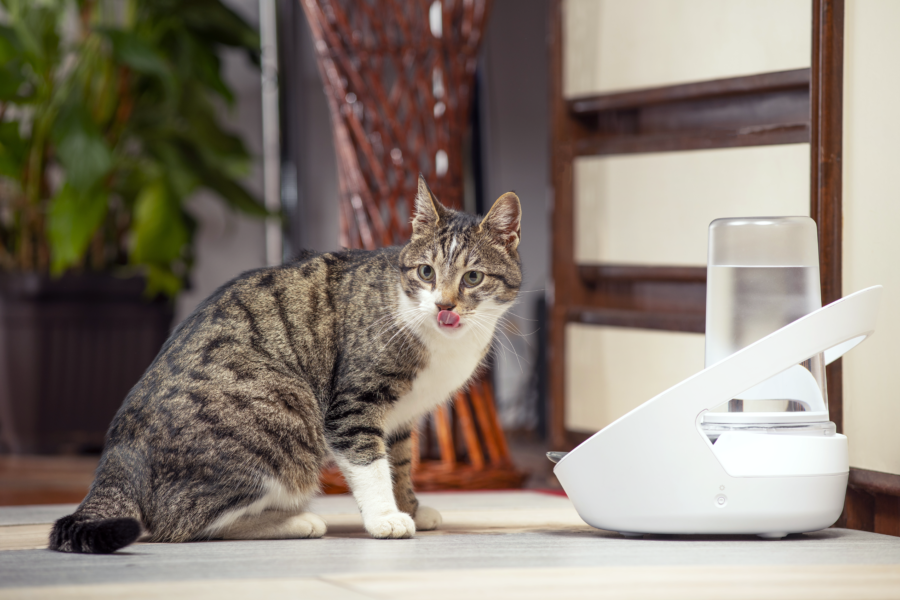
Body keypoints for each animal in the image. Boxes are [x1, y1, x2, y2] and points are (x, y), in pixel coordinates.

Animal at [49, 176, 524, 556]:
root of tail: (117, 454)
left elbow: (401, 463)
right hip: (285, 416)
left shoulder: (403, 417)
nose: (444, 305)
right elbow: (370, 463)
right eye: (426, 272)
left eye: (473, 278)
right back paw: (295, 521)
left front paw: (412, 507)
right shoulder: (353, 403)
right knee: (183, 523)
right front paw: (386, 518)